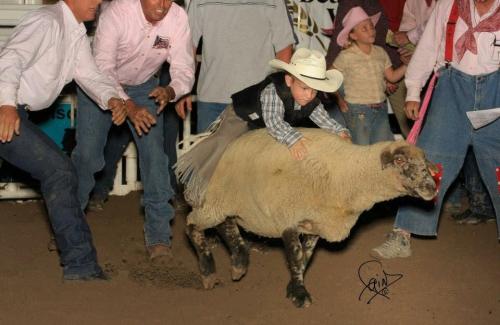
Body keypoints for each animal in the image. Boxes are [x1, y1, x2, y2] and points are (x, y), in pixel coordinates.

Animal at [185, 126, 438, 306]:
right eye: (400, 160)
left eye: (425, 163)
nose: (432, 188)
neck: (344, 175)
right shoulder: (288, 217)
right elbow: (296, 256)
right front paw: (300, 294)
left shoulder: (315, 224)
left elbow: (305, 258)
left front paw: (293, 287)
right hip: (215, 201)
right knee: (192, 225)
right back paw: (208, 272)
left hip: (228, 204)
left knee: (225, 224)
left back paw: (239, 262)